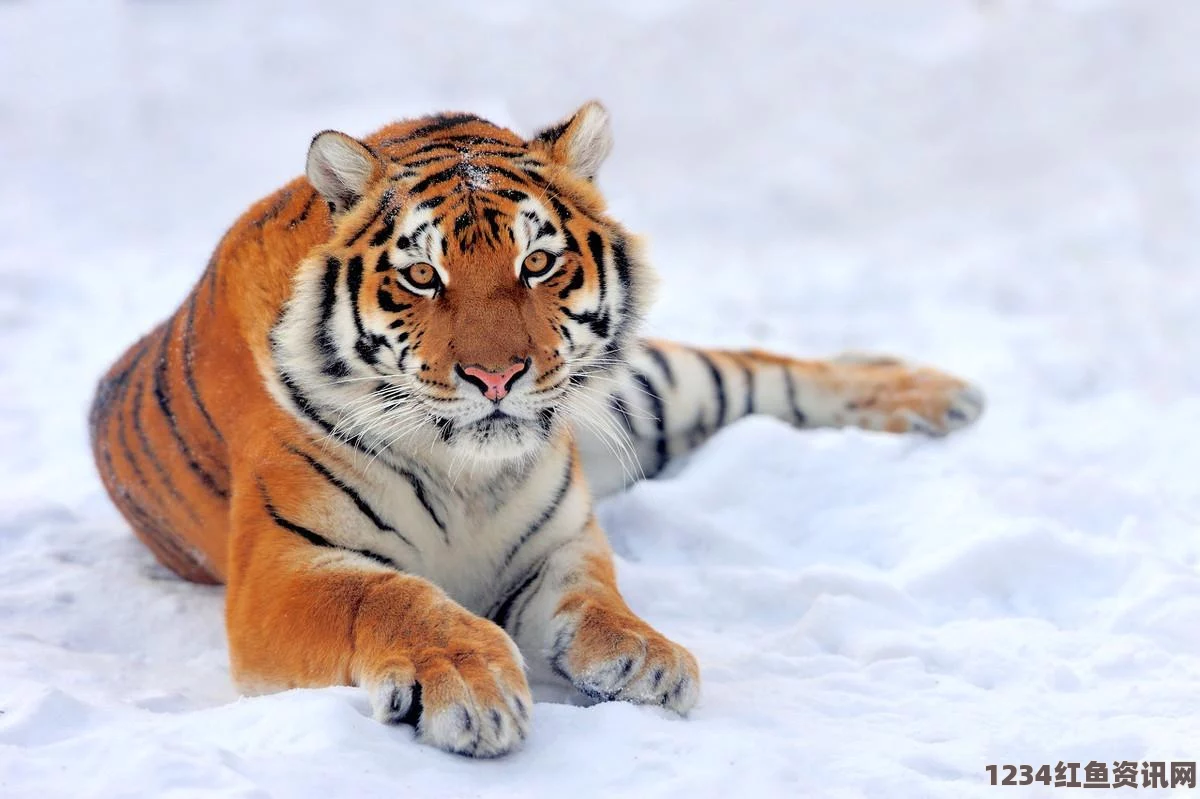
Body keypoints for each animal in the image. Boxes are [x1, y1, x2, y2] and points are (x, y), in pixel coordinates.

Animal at [87, 102, 984, 758]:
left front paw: (646, 656)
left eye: (538, 263)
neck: (466, 476)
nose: (495, 376)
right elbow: (395, 596)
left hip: (648, 392)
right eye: (423, 274)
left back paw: (936, 393)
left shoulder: (560, 537)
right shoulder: (285, 568)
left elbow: (597, 597)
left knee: (764, 367)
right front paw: (469, 683)